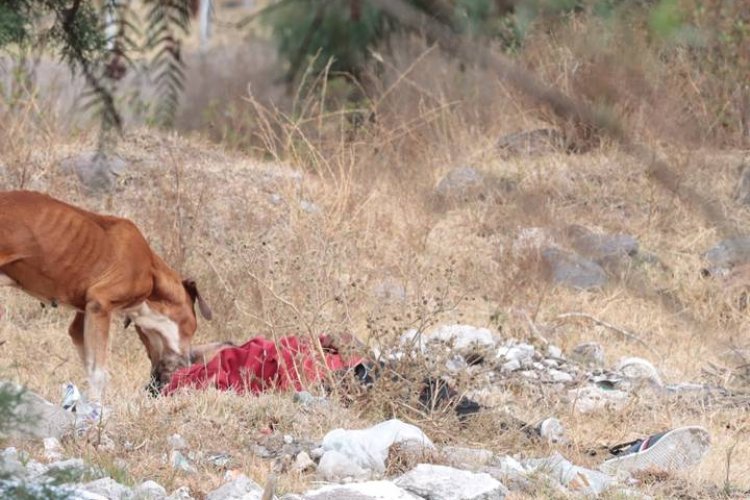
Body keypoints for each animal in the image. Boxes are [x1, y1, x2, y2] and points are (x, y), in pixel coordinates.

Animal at [0, 190, 220, 398]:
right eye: (191, 327)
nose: (190, 363)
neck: (152, 274)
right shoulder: (100, 306)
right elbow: (98, 373)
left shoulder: (83, 319)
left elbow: (91, 368)